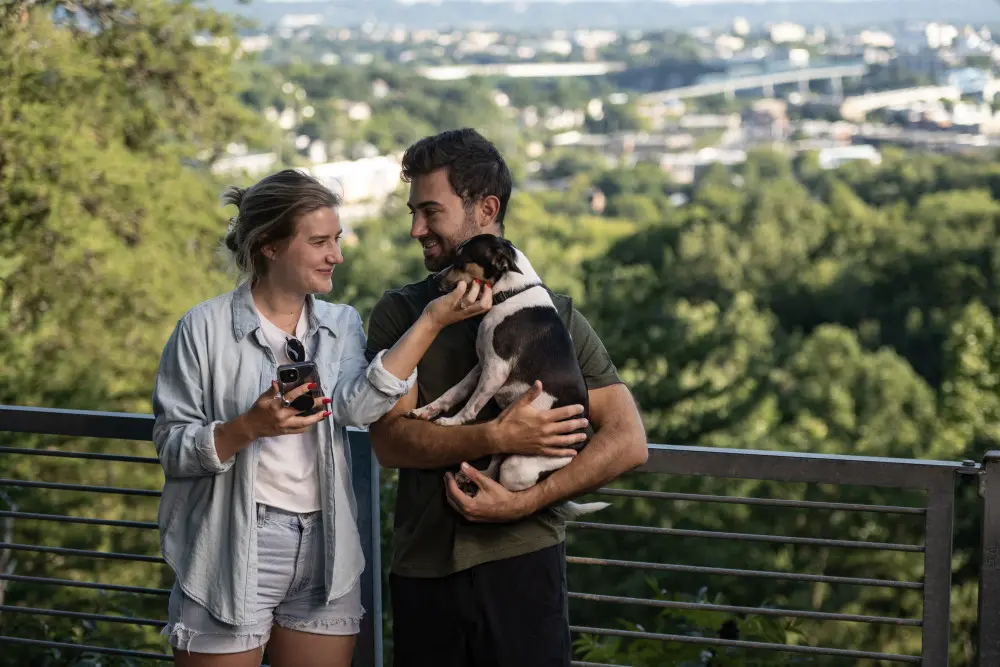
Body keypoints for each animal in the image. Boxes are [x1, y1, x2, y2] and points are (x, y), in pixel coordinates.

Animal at [408, 236, 608, 520]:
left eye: (461, 261)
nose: (436, 280)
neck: (513, 292)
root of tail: (576, 451)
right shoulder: (481, 365)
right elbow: (454, 392)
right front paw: (426, 411)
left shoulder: (496, 369)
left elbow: (470, 406)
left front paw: (451, 422)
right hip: (504, 445)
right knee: (494, 465)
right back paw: (470, 477)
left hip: (518, 467)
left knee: (508, 484)